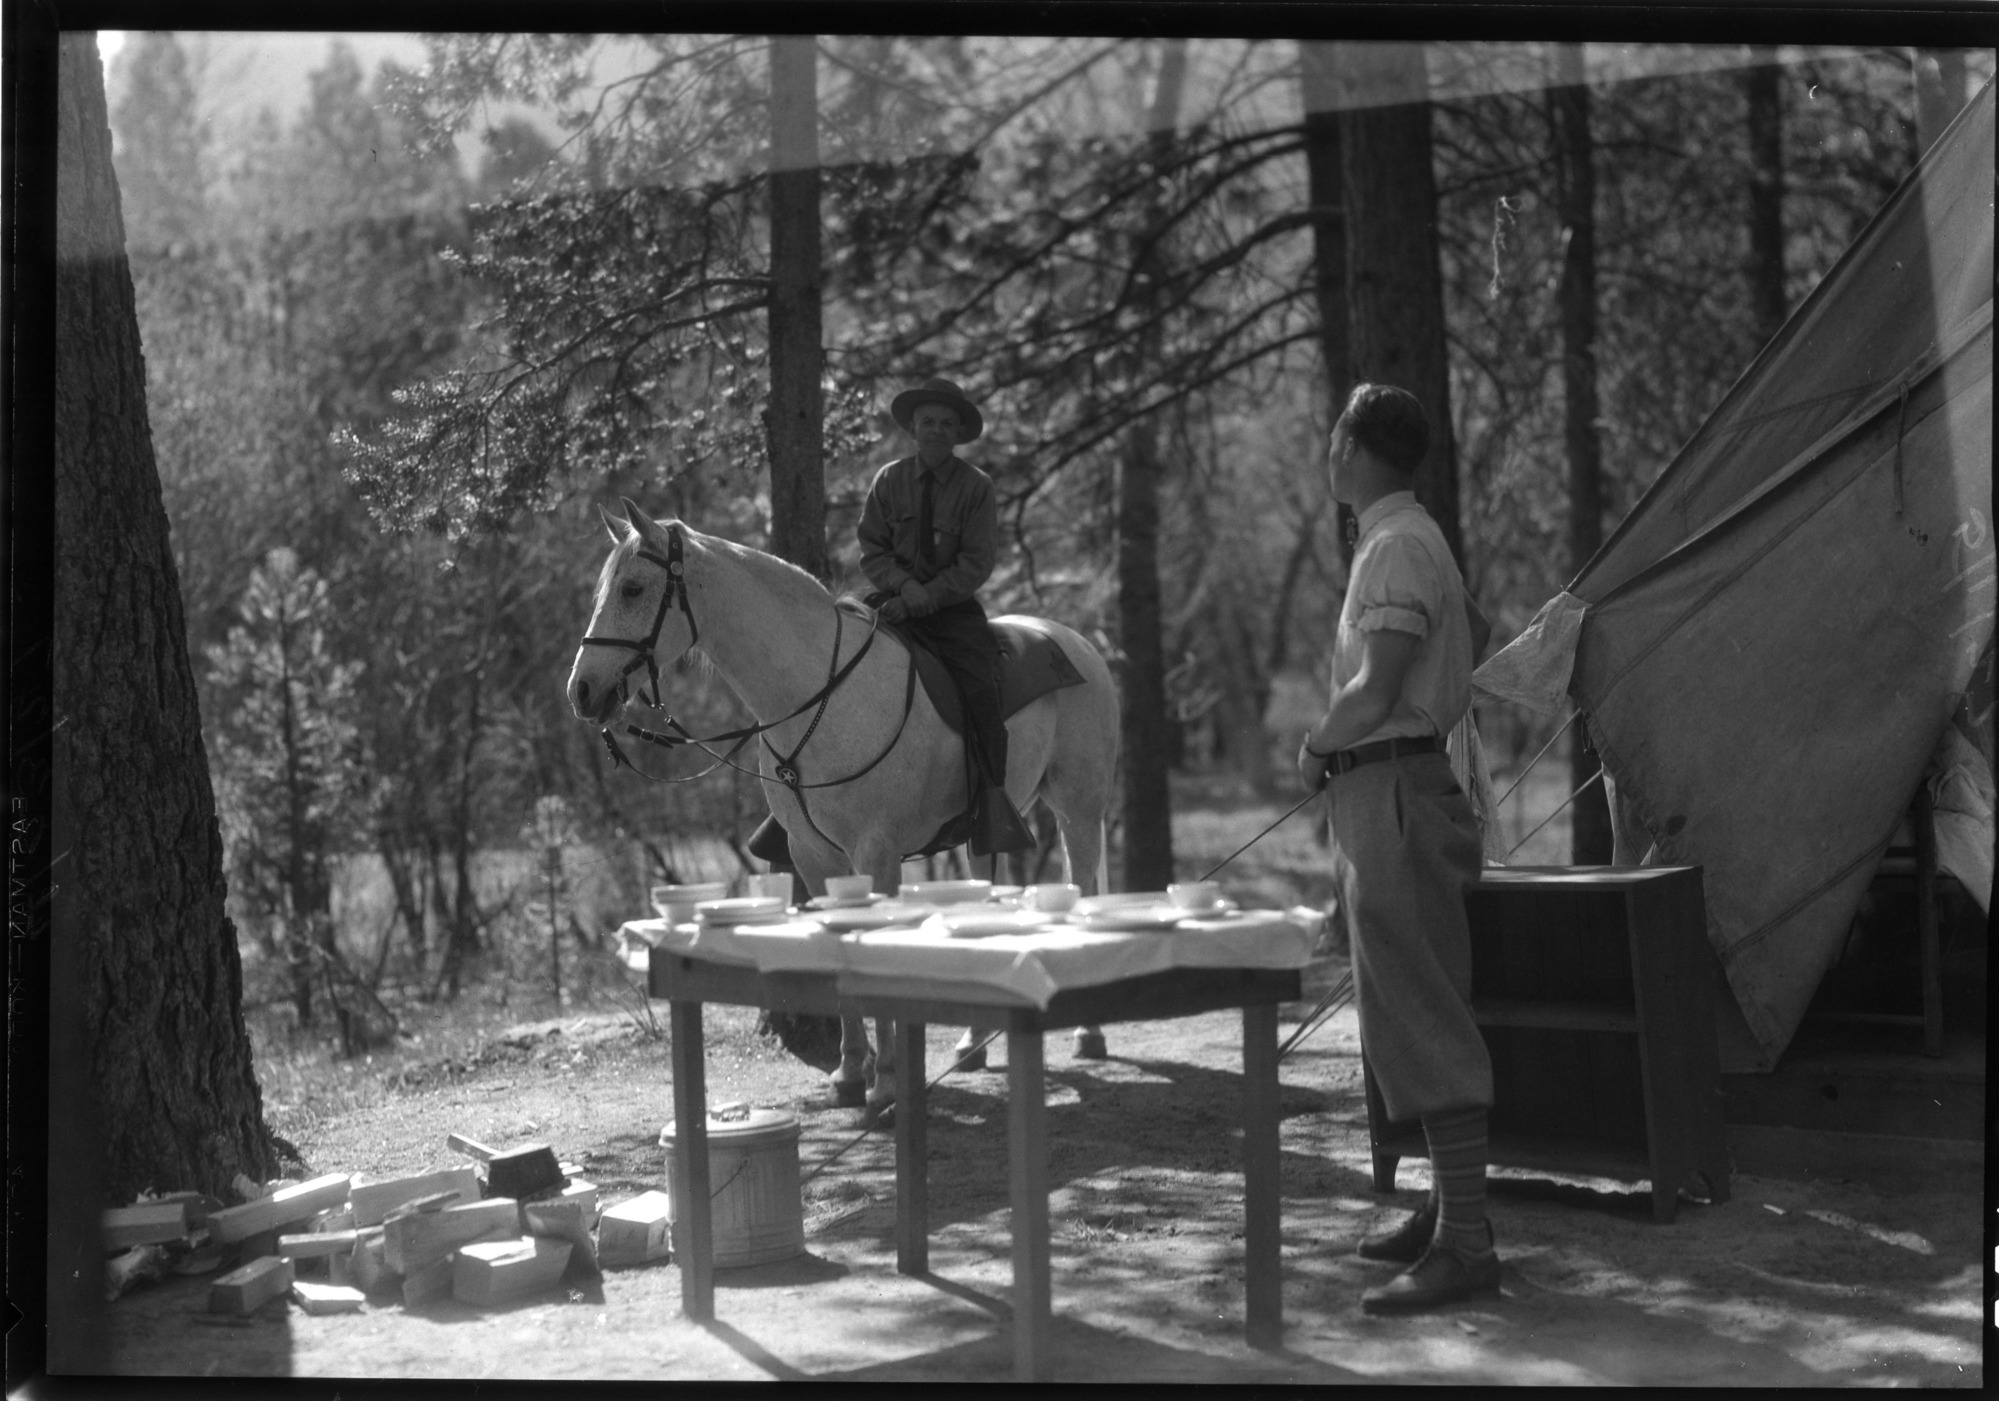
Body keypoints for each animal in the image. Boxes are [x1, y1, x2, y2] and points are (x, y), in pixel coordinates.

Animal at [566, 499, 1121, 1115]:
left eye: (634, 588)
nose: (582, 692)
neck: (820, 694)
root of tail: (1077, 643)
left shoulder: (875, 855)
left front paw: (888, 1083)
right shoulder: (813, 856)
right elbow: (833, 952)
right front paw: (851, 1073)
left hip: (1077, 808)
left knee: (1084, 879)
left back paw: (1089, 1032)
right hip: (987, 827)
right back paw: (972, 1043)